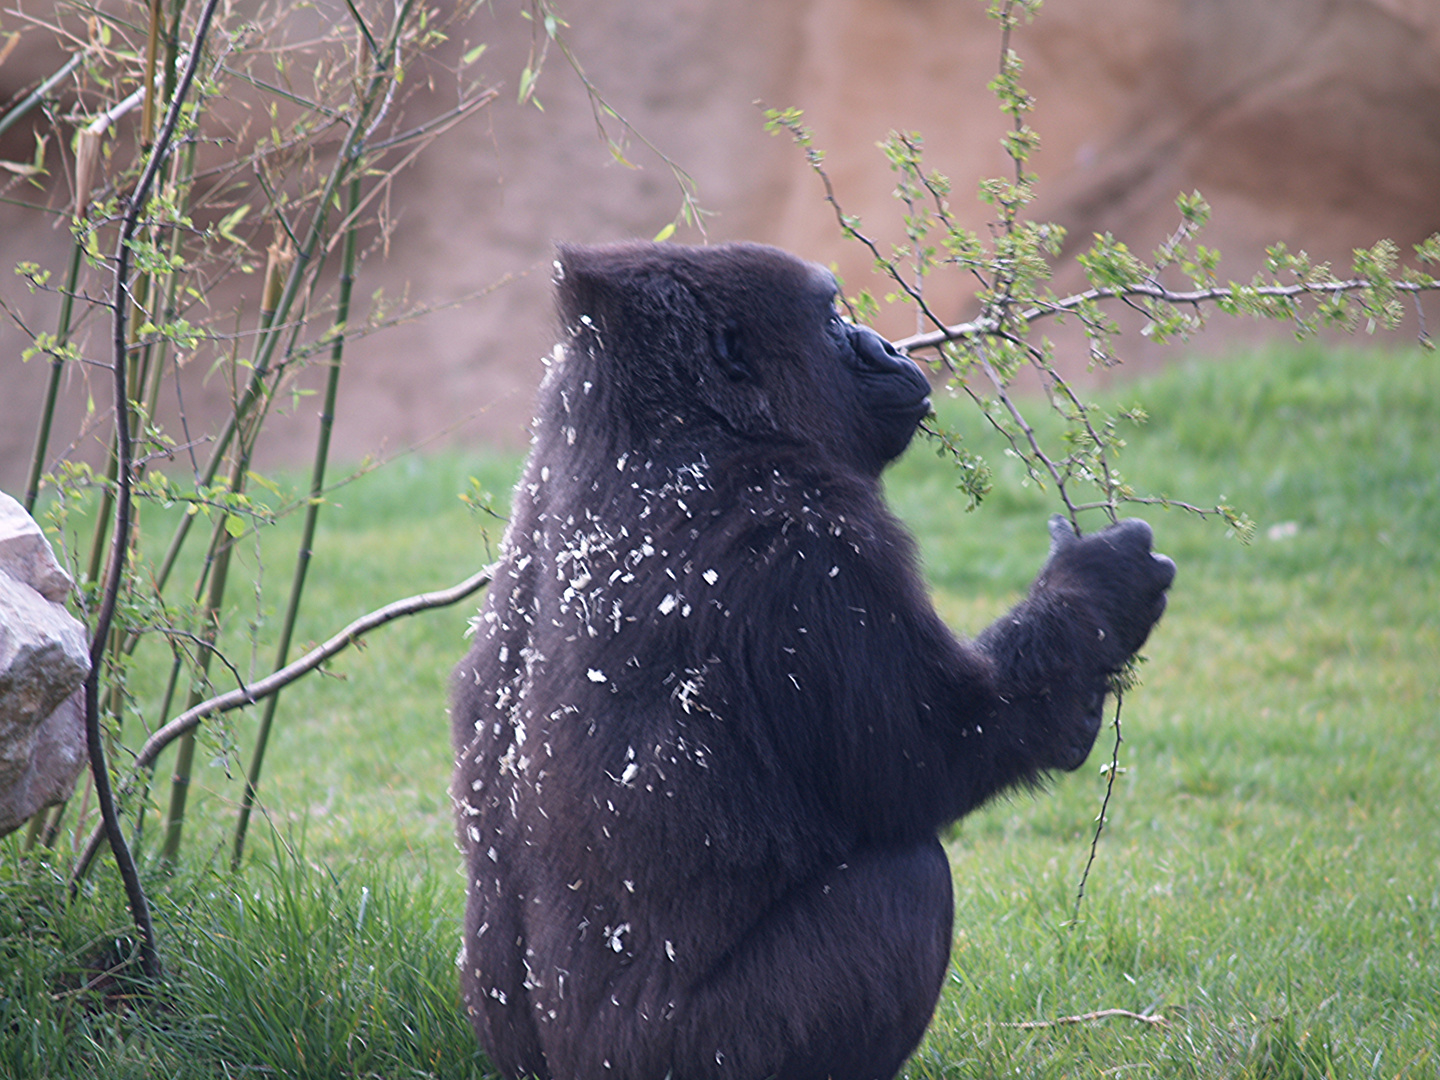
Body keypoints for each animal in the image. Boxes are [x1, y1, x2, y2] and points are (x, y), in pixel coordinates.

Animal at [455, 243, 1175, 1080]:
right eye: (831, 316)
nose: (886, 345)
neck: (669, 420)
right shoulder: (812, 544)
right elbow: (939, 754)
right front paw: (1096, 596)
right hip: (687, 1057)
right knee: (906, 879)